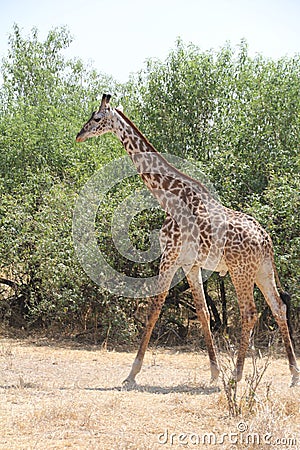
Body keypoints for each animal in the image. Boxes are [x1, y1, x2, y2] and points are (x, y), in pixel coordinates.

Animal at [76, 93, 298, 384]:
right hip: (262, 270)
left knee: (250, 312)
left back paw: (237, 375)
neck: (168, 198)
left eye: (97, 118)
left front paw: (132, 373)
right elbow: (203, 312)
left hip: (241, 270)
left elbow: (154, 308)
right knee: (278, 306)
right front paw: (214, 372)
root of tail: (266, 241)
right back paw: (293, 374)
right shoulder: (190, 265)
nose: (79, 135)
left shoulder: (169, 256)